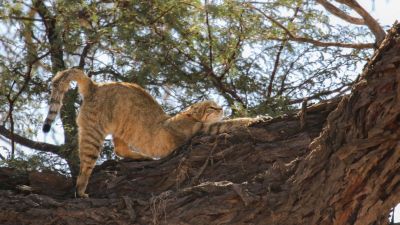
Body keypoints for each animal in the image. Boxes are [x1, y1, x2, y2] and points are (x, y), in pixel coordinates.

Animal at [43, 67, 262, 198]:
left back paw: (142, 157)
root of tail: (95, 85)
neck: (190, 117)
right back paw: (81, 190)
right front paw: (257, 119)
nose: (221, 108)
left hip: (122, 126)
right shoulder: (202, 129)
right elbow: (231, 123)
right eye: (211, 107)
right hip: (94, 134)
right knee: (87, 165)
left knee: (120, 149)